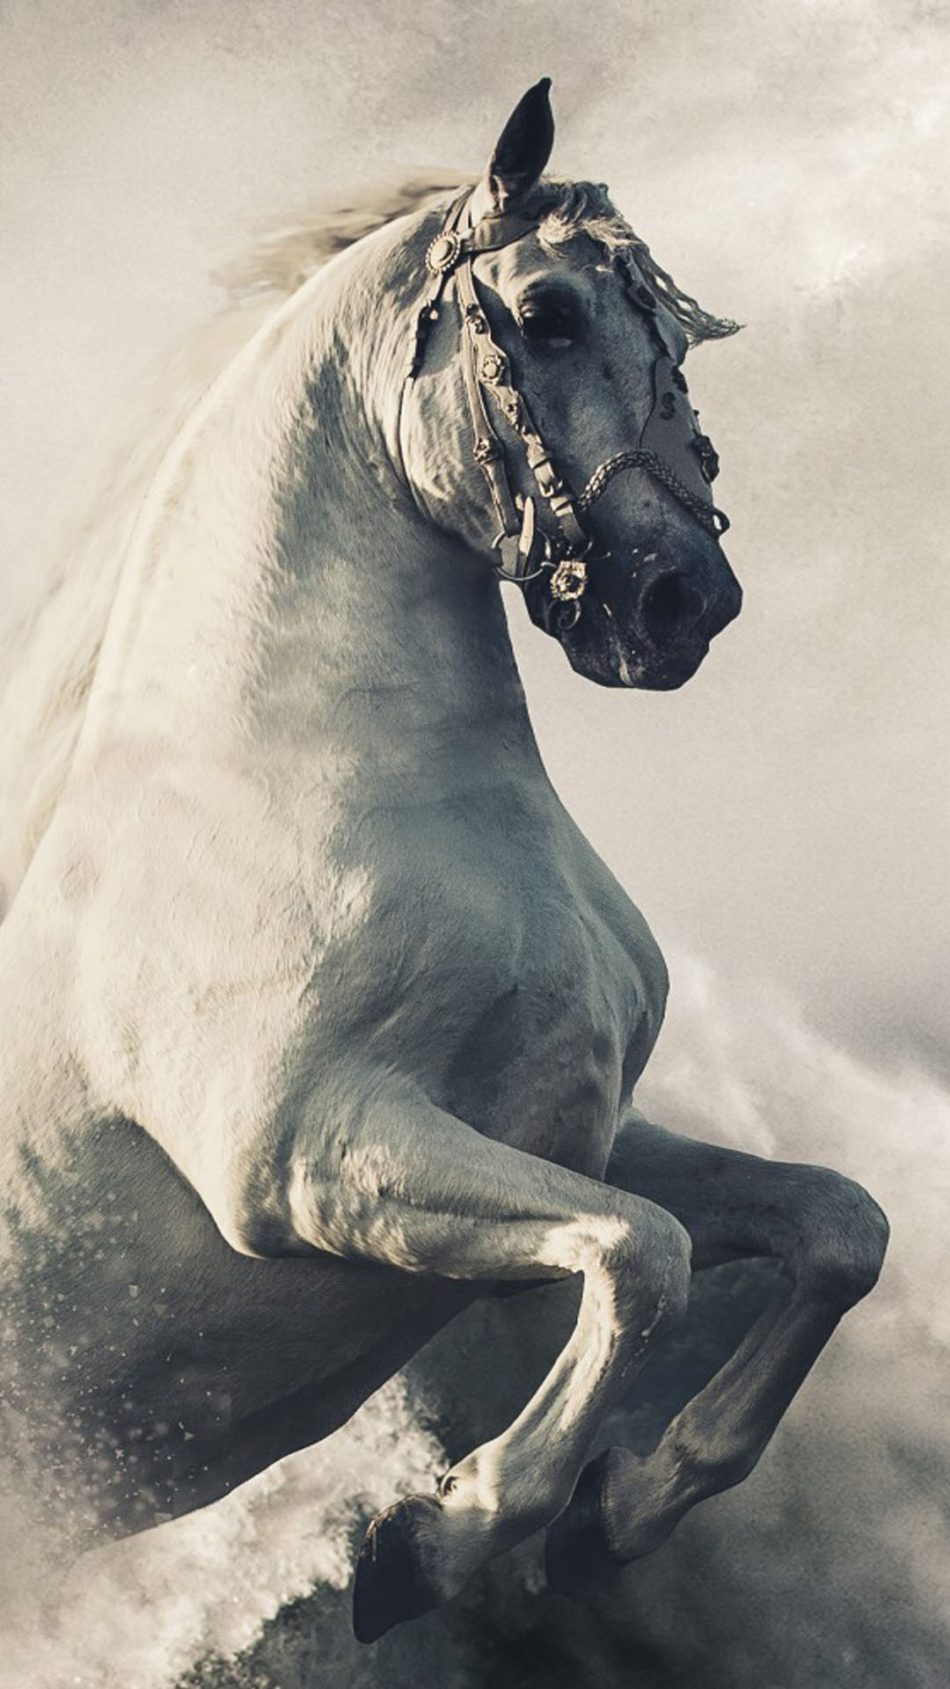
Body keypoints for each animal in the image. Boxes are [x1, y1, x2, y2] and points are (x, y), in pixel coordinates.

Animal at [0, 79, 888, 1643]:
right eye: (543, 315)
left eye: (675, 343)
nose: (684, 601)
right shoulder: (321, 1160)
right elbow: (641, 1258)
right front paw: (439, 1534)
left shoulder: (573, 1130)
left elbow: (833, 1223)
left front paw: (614, 1513)